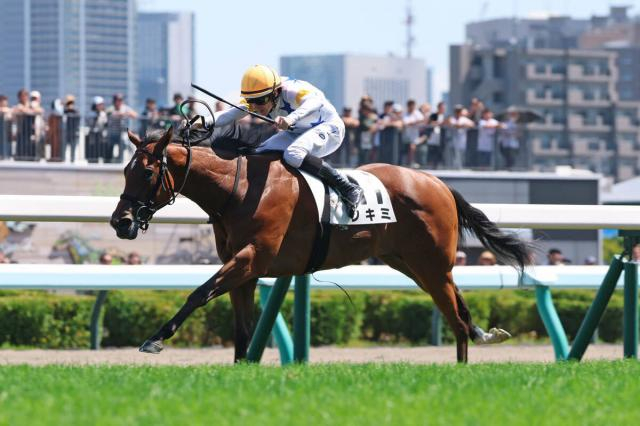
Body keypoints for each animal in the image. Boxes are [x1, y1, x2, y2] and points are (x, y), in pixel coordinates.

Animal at [110, 125, 532, 363]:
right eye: (125, 171)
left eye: (145, 172)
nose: (120, 222)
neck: (239, 188)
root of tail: (439, 183)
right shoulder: (244, 270)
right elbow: (242, 329)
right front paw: (242, 369)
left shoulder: (251, 259)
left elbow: (198, 293)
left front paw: (154, 340)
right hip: (411, 264)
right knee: (459, 307)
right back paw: (483, 335)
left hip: (430, 264)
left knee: (456, 320)